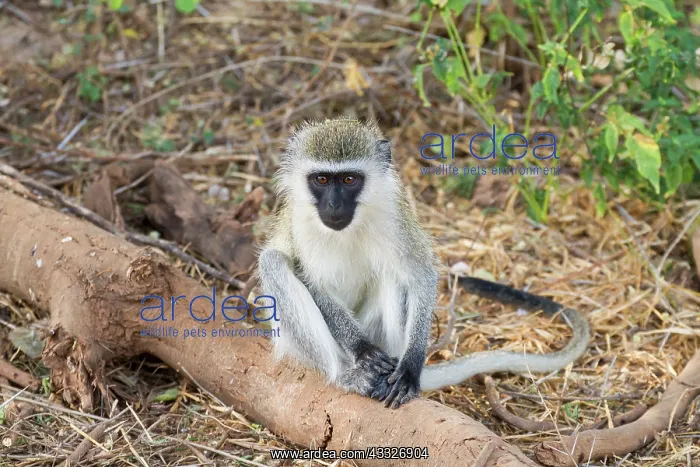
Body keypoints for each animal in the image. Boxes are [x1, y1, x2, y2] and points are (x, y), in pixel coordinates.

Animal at [257, 118, 590, 409]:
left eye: (350, 179)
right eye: (322, 179)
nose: (334, 205)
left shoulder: (396, 211)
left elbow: (421, 274)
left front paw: (411, 367)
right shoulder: (298, 222)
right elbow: (314, 283)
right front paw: (363, 349)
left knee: (394, 274)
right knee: (272, 262)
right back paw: (347, 375)